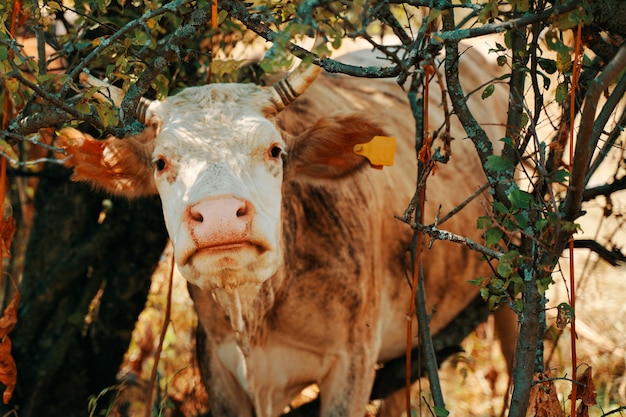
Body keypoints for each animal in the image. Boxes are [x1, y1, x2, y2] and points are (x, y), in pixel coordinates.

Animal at [56, 43, 508, 416]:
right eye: (161, 162)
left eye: (275, 150)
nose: (219, 215)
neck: (254, 316)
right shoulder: (218, 369)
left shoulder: (352, 364)